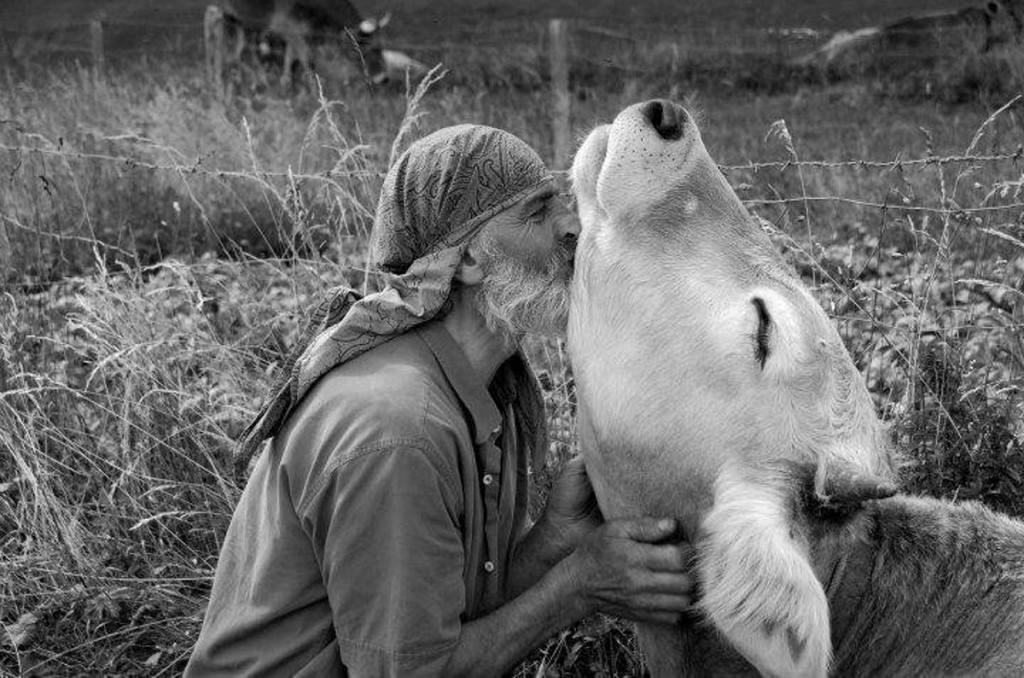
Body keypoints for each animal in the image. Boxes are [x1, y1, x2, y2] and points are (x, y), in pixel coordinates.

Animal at [219, 0, 387, 89]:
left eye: (380, 46)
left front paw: (285, 83)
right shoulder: (291, 30)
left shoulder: (295, 33)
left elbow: (290, 56)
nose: (383, 79)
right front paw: (313, 90)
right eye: (361, 50)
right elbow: (306, 59)